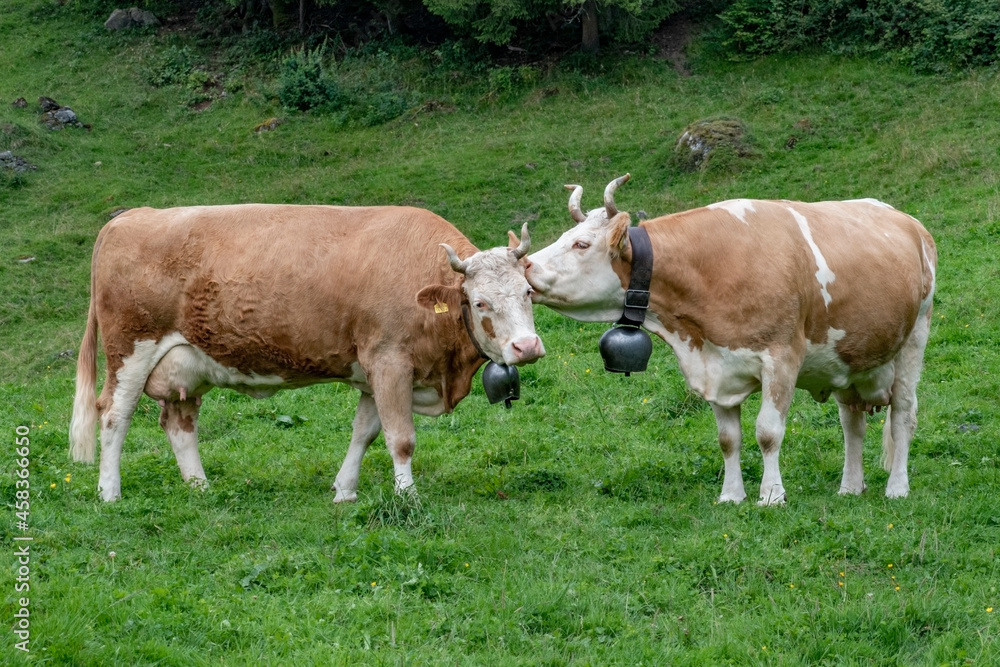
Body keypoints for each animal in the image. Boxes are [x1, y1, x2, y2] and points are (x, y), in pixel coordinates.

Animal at [68, 204, 548, 500]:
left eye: (528, 291)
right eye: (480, 302)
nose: (526, 347)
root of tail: (129, 217)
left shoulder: (373, 370)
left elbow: (364, 432)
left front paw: (345, 490)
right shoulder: (390, 361)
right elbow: (401, 438)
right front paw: (407, 496)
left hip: (186, 361)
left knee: (179, 423)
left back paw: (200, 488)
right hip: (130, 349)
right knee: (113, 416)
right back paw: (109, 492)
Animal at [528, 177, 932, 506]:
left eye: (581, 244)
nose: (527, 265)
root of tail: (909, 221)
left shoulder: (781, 358)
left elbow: (768, 432)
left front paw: (771, 495)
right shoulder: (715, 367)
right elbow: (728, 439)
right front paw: (731, 495)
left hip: (915, 337)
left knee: (903, 416)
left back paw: (897, 487)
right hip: (848, 359)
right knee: (852, 422)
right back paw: (850, 487)